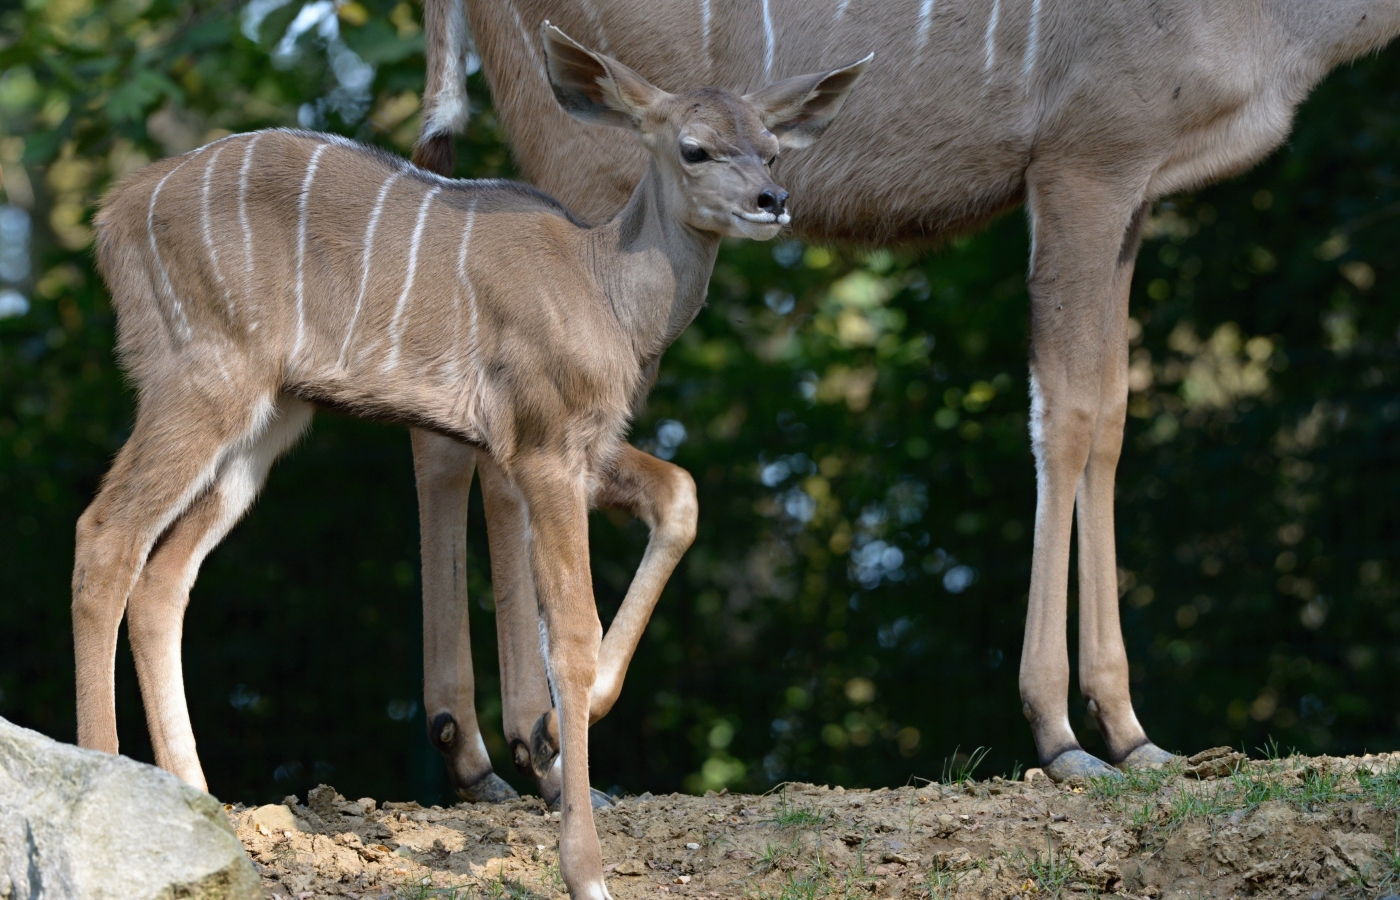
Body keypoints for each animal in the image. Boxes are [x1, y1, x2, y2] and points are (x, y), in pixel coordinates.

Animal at [76, 22, 868, 900]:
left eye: (771, 146)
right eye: (694, 148)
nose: (771, 201)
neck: (605, 287)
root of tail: (114, 213)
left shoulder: (573, 445)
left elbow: (680, 496)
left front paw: (563, 727)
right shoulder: (541, 445)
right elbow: (572, 632)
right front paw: (585, 867)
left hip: (267, 421)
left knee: (163, 574)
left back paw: (196, 800)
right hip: (198, 382)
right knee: (106, 534)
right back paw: (103, 781)